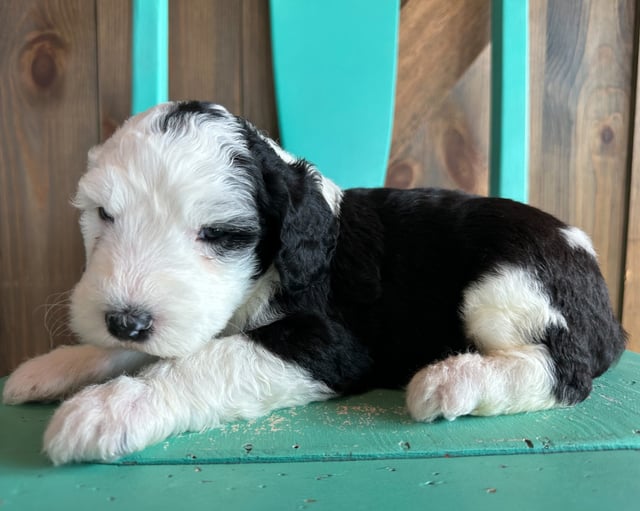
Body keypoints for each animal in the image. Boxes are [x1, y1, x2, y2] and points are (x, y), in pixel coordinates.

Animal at [2, 100, 628, 464]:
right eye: (104, 215)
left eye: (220, 233)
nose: (126, 320)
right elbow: (155, 349)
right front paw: (56, 366)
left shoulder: (329, 342)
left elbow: (205, 360)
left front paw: (110, 408)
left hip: (507, 283)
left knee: (563, 369)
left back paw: (454, 380)